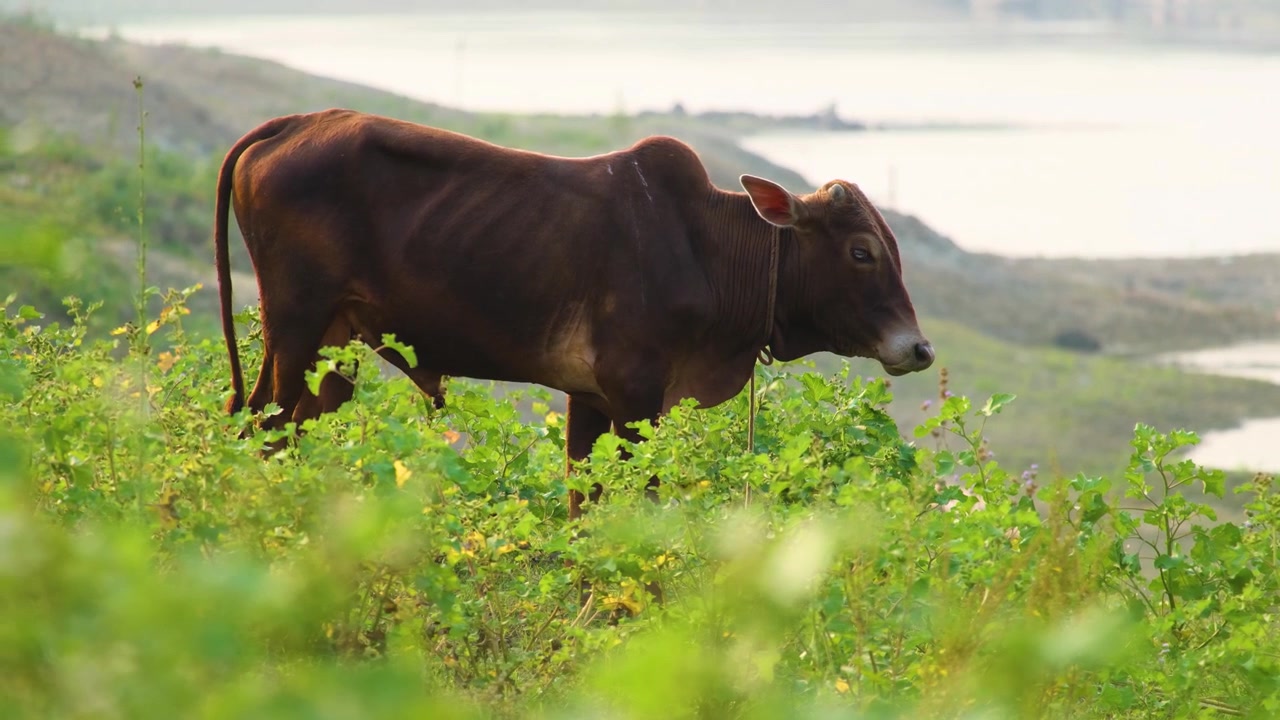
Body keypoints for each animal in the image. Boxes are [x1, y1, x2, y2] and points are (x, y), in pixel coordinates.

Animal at [214, 109, 935, 519]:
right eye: (861, 250)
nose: (918, 348)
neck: (707, 248)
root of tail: (289, 126)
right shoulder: (635, 395)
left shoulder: (589, 398)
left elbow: (580, 507)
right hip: (296, 324)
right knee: (263, 426)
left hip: (337, 347)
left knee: (285, 431)